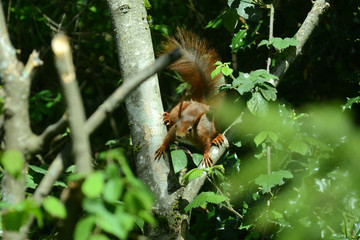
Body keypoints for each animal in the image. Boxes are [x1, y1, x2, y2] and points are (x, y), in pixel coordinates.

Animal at [155, 28, 225, 167]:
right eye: (177, 126)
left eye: (190, 130)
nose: (179, 136)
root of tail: (202, 103)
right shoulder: (173, 131)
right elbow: (168, 137)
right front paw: (162, 147)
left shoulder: (203, 134)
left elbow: (206, 144)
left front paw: (207, 154)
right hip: (179, 107)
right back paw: (167, 117)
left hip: (216, 120)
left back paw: (218, 137)